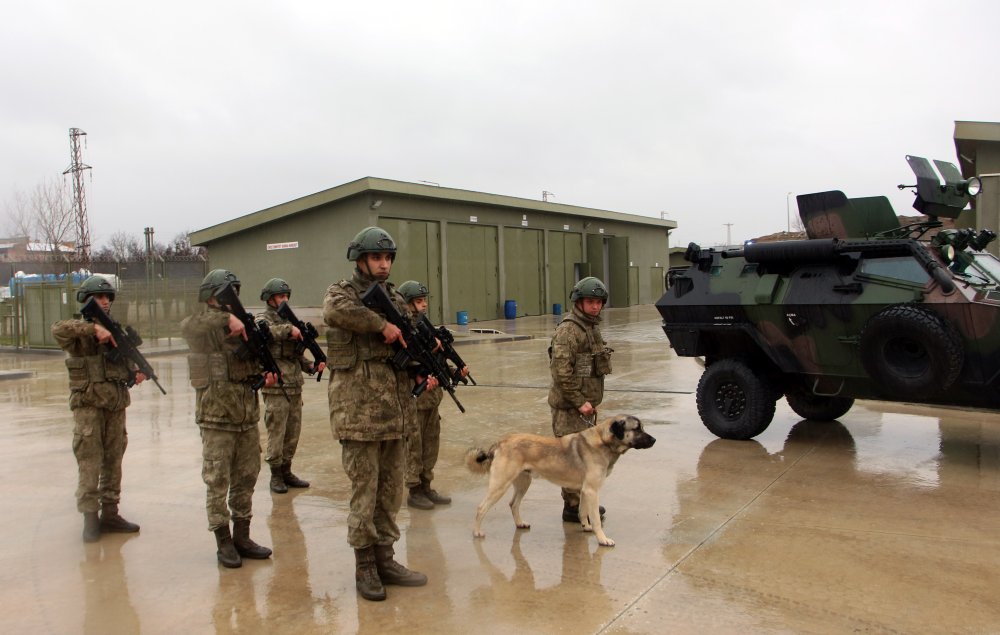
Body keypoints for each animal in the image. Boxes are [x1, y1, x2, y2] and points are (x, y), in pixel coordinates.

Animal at [466, 418, 656, 548]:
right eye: (637, 428)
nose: (654, 440)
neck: (603, 441)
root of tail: (499, 443)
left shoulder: (585, 491)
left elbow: (582, 511)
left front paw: (585, 527)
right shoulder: (592, 491)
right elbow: (595, 518)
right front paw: (602, 539)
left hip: (523, 483)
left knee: (513, 504)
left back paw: (520, 523)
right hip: (500, 485)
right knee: (481, 508)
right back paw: (476, 532)